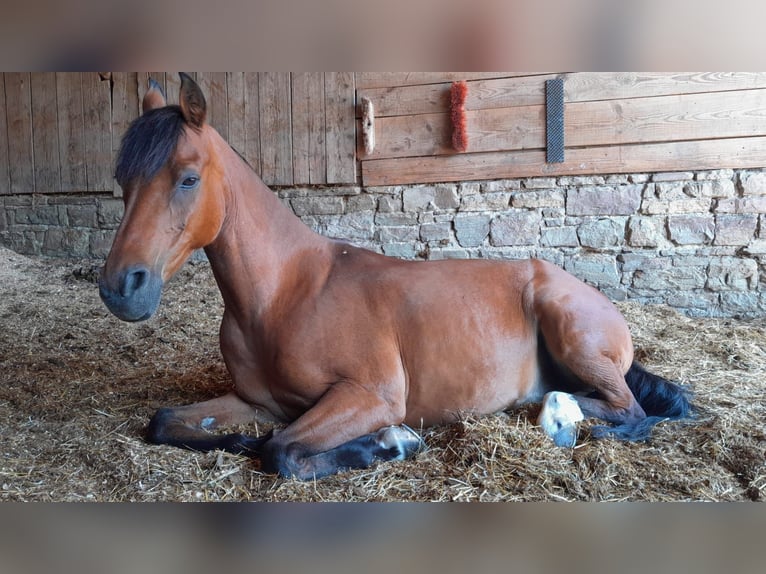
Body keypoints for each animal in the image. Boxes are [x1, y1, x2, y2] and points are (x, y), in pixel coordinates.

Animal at [99, 73, 692, 480]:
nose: (120, 288)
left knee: (627, 408)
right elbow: (167, 422)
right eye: (122, 179)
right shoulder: (256, 403)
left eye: (188, 178)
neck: (285, 296)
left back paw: (557, 414)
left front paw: (392, 443)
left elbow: (282, 450)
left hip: (573, 336)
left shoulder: (371, 397)